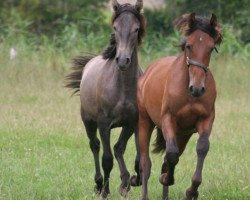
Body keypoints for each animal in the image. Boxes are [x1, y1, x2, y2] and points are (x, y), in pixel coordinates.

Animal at [65, 0, 146, 198]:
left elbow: (138, 159)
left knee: (119, 147)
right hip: (88, 122)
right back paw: (99, 183)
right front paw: (105, 191)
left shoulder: (135, 122)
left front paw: (133, 181)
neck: (123, 86)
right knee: (95, 146)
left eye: (136, 29)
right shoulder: (104, 124)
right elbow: (107, 159)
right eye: (115, 27)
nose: (123, 61)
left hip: (126, 126)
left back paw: (125, 182)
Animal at [135, 12, 223, 200]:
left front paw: (191, 191)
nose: (197, 88)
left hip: (183, 134)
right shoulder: (168, 119)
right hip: (145, 123)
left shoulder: (205, 120)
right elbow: (171, 154)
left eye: (211, 48)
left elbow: (202, 148)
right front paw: (166, 179)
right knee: (146, 163)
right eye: (188, 46)